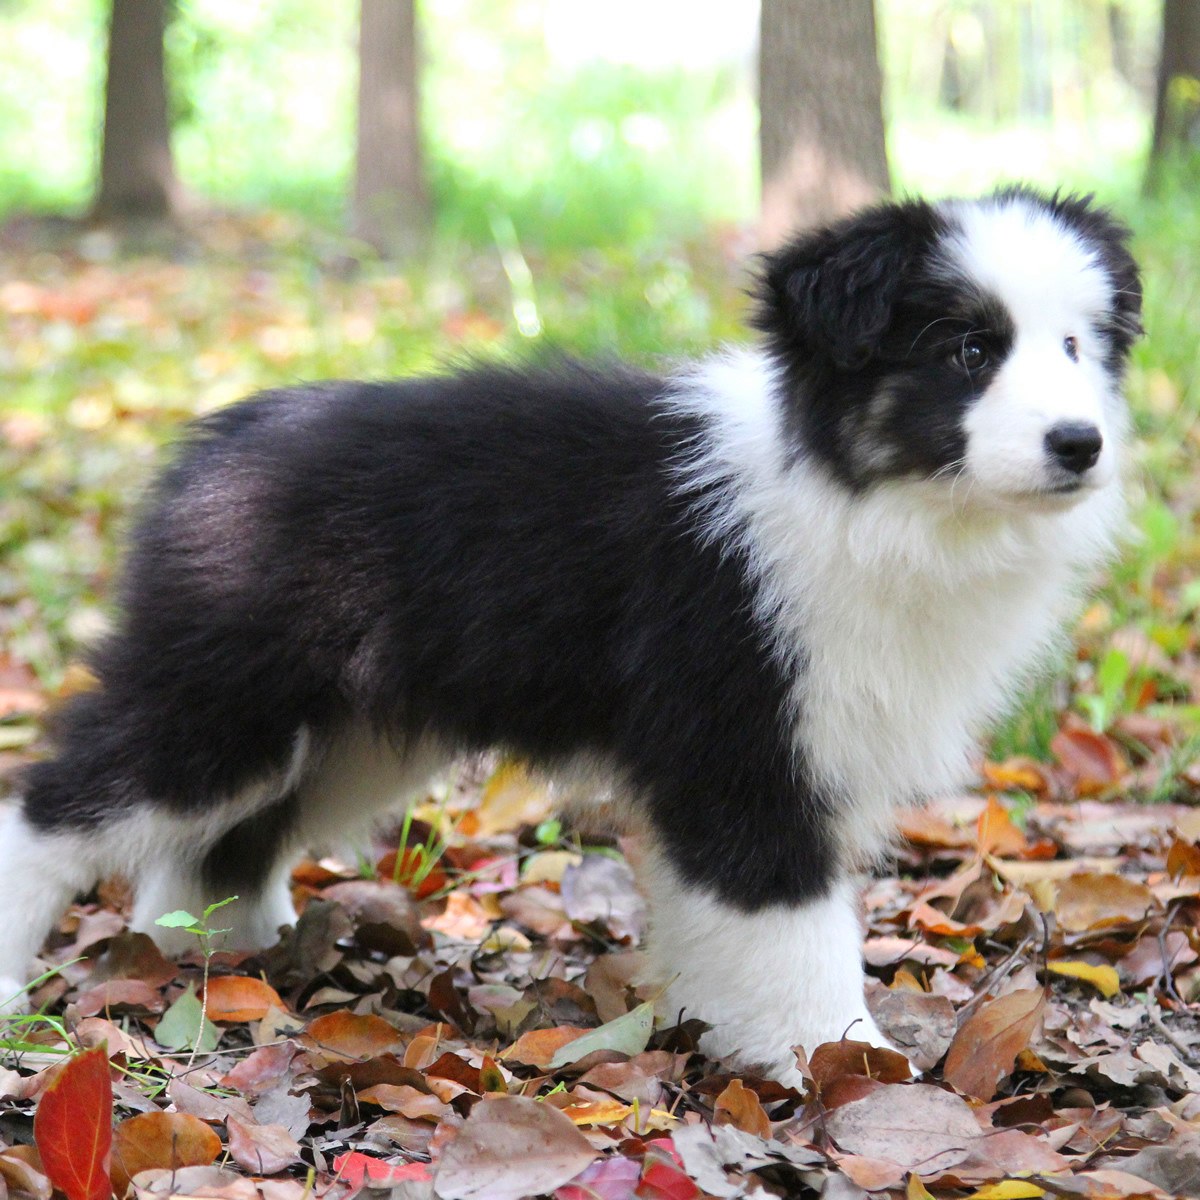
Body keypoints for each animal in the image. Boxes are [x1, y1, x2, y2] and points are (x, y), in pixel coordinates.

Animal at [2, 187, 1142, 1080]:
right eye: (968, 350)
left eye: (1076, 346)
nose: (1081, 444)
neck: (867, 497)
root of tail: (211, 443)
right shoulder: (741, 740)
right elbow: (794, 927)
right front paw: (848, 1066)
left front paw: (720, 1033)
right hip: (226, 694)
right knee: (58, 803)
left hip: (351, 735)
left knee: (228, 843)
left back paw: (229, 963)